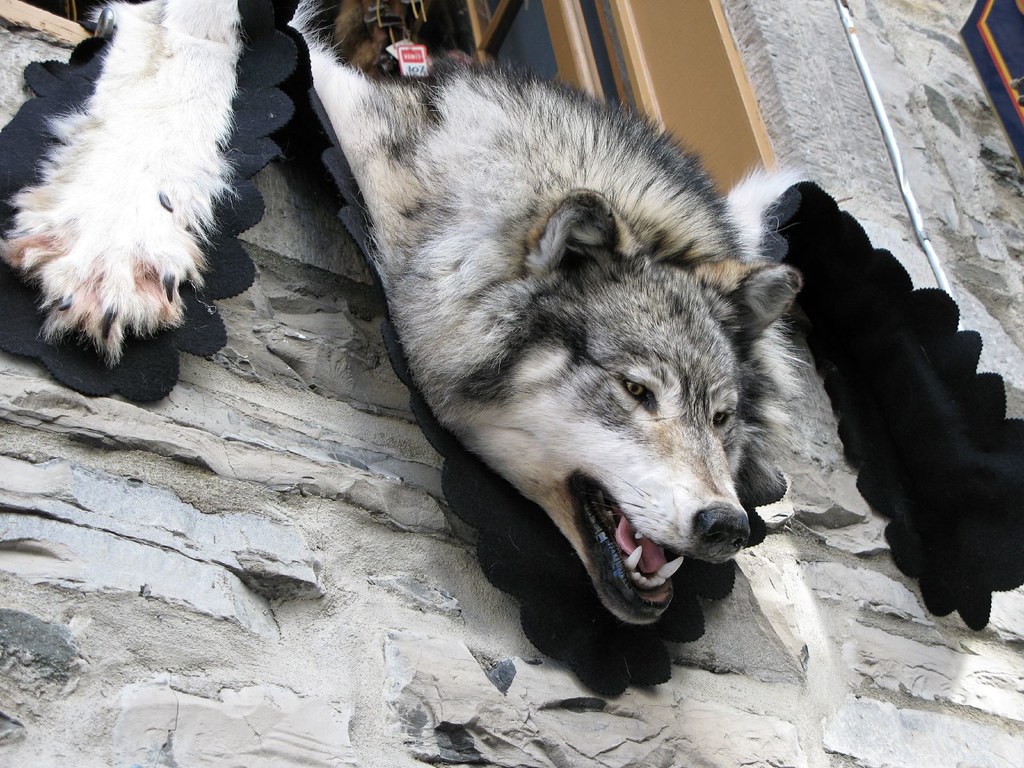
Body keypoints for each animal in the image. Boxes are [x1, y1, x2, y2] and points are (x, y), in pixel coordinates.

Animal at [2, 0, 802, 625]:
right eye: (636, 391)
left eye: (722, 419)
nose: (728, 525)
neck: (432, 214)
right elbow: (188, 35)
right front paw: (114, 231)